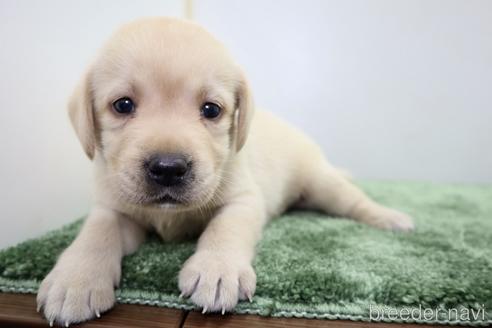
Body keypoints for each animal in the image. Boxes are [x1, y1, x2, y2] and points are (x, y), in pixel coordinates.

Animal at [36, 17, 414, 326]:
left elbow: (225, 228)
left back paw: (390, 217)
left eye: (211, 110)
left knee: (354, 201)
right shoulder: (111, 206)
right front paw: (75, 278)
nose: (168, 169)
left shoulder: (244, 199)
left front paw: (216, 269)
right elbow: (95, 233)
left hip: (322, 182)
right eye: (123, 105)